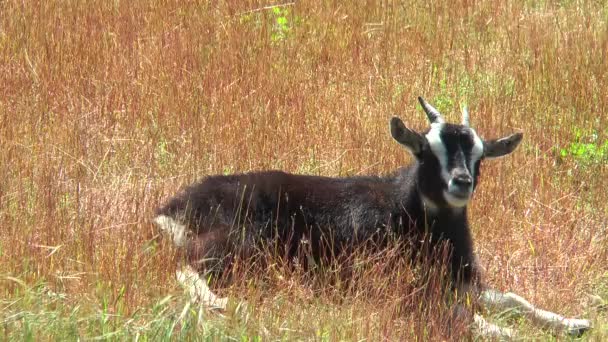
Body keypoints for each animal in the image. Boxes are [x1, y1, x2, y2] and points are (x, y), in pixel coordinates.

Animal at [154, 97, 592, 338]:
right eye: (425, 151)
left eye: (480, 155)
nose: (461, 182)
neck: (407, 209)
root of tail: (173, 207)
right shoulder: (402, 289)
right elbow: (467, 319)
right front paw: (502, 330)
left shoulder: (463, 282)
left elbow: (517, 300)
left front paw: (573, 322)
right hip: (237, 243)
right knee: (185, 268)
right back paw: (231, 305)